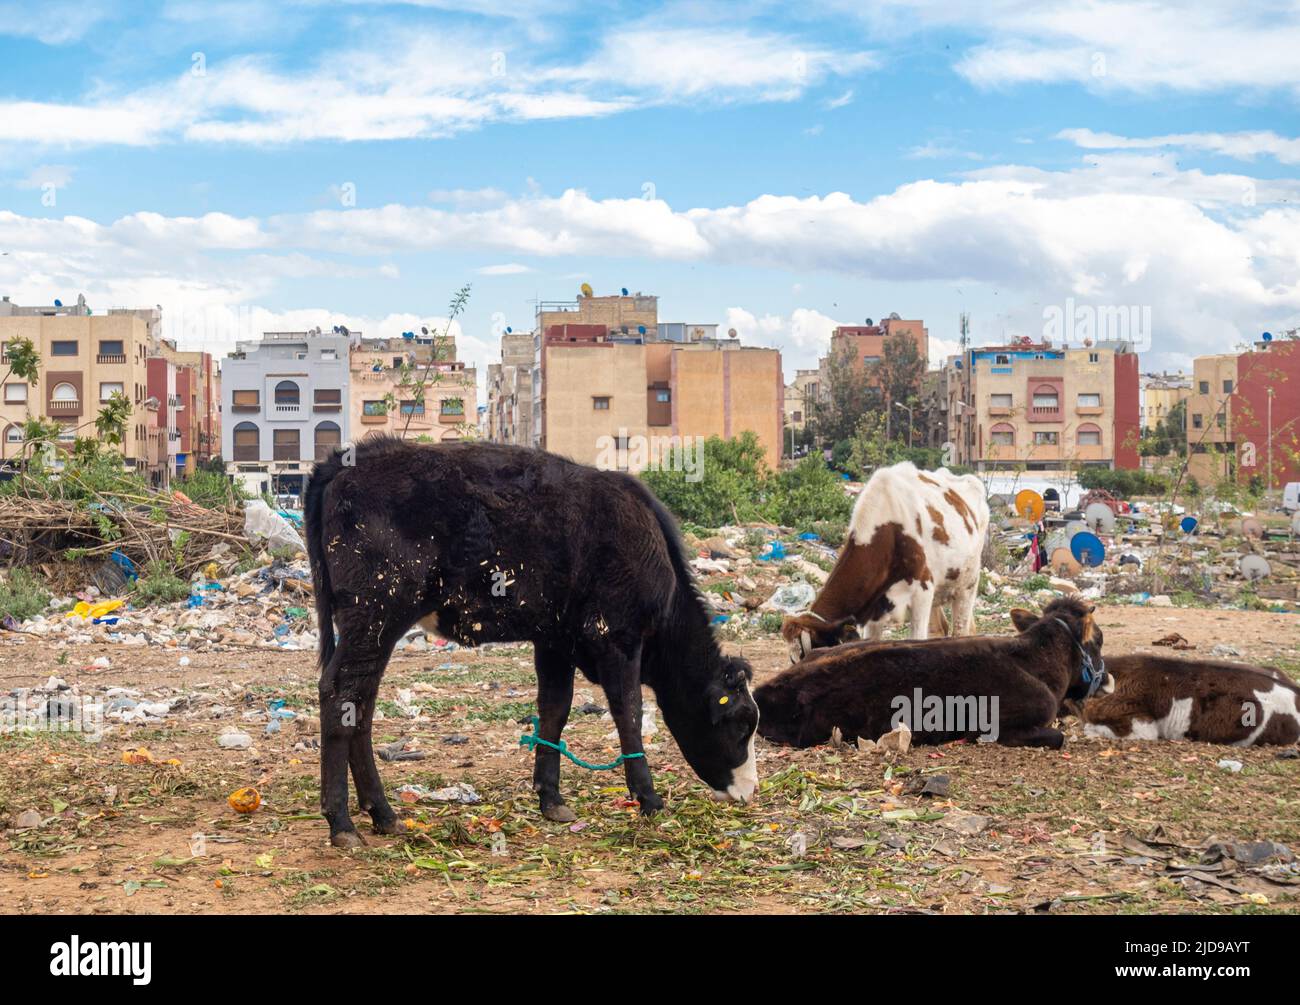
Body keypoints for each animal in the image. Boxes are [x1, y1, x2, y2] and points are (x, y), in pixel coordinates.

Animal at [304, 436, 759, 847]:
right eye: (741, 723)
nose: (749, 791)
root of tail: (350, 459)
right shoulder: (618, 637)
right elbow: (628, 713)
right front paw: (648, 798)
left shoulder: (556, 640)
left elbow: (554, 711)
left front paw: (551, 799)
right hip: (376, 613)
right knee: (340, 692)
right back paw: (342, 823)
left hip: (372, 625)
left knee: (360, 702)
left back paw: (382, 814)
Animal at [754, 592, 1107, 748]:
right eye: (1099, 639)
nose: (1108, 680)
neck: (1034, 659)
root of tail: (763, 690)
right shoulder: (1008, 728)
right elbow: (1058, 736)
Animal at [774, 460, 987, 663]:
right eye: (793, 660)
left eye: (814, 653)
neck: (888, 530)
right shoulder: (875, 608)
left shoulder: (922, 590)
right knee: (940, 629)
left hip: (968, 583)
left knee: (960, 629)